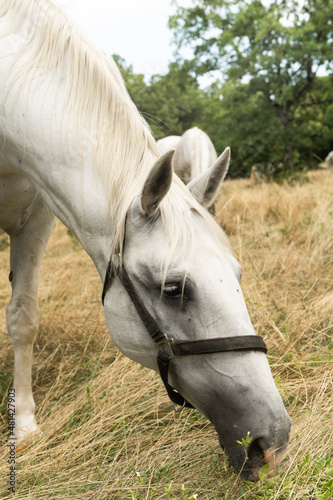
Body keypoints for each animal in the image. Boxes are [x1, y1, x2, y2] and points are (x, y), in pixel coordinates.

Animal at [0, 0, 290, 480]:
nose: (274, 441)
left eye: (237, 274)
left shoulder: (36, 217)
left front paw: (23, 426)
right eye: (174, 290)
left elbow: (23, 320)